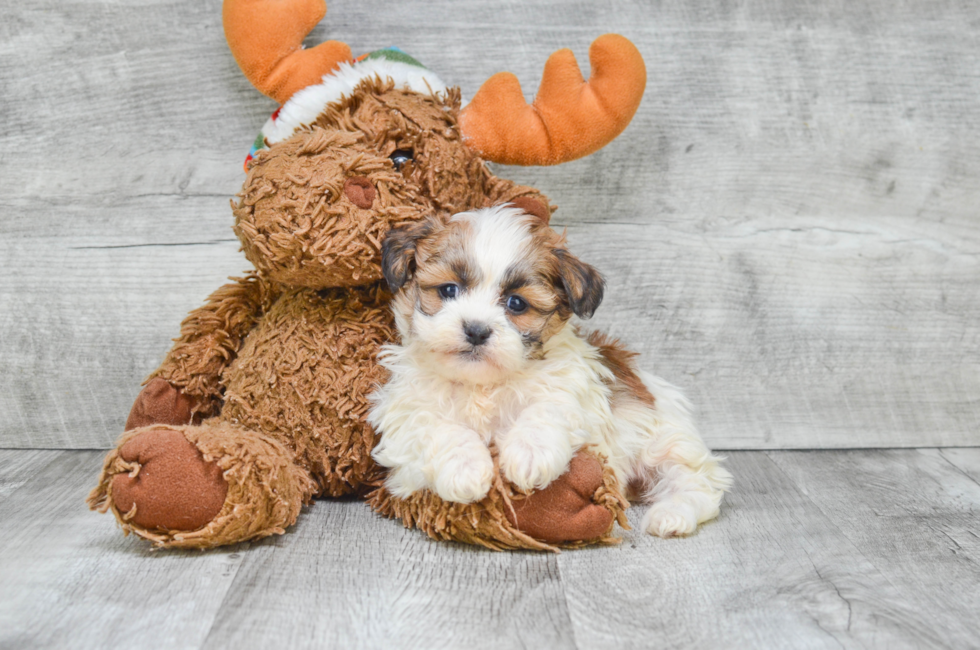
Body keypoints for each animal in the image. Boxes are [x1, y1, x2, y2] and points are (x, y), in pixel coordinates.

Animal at [372, 204, 732, 536]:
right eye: (448, 290)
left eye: (517, 304)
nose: (476, 330)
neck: (482, 385)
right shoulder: (406, 414)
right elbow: (435, 427)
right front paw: (466, 469)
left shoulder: (573, 387)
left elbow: (548, 407)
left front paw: (529, 454)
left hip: (668, 442)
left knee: (696, 480)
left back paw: (672, 515)